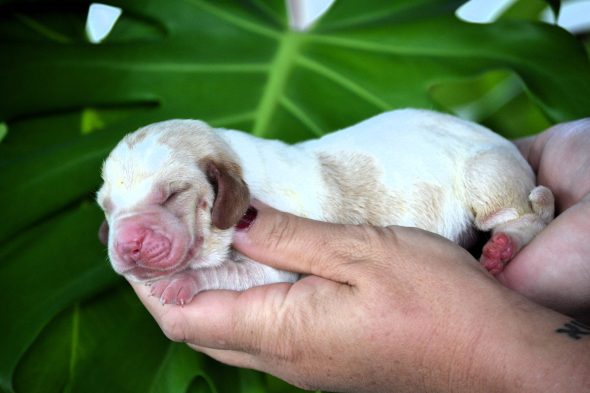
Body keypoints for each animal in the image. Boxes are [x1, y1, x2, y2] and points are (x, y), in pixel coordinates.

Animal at [96, 108, 556, 304]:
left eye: (172, 195)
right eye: (107, 208)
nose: (128, 245)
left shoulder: (272, 267)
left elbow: (233, 271)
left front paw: (183, 282)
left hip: (487, 174)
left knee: (528, 216)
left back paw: (502, 247)